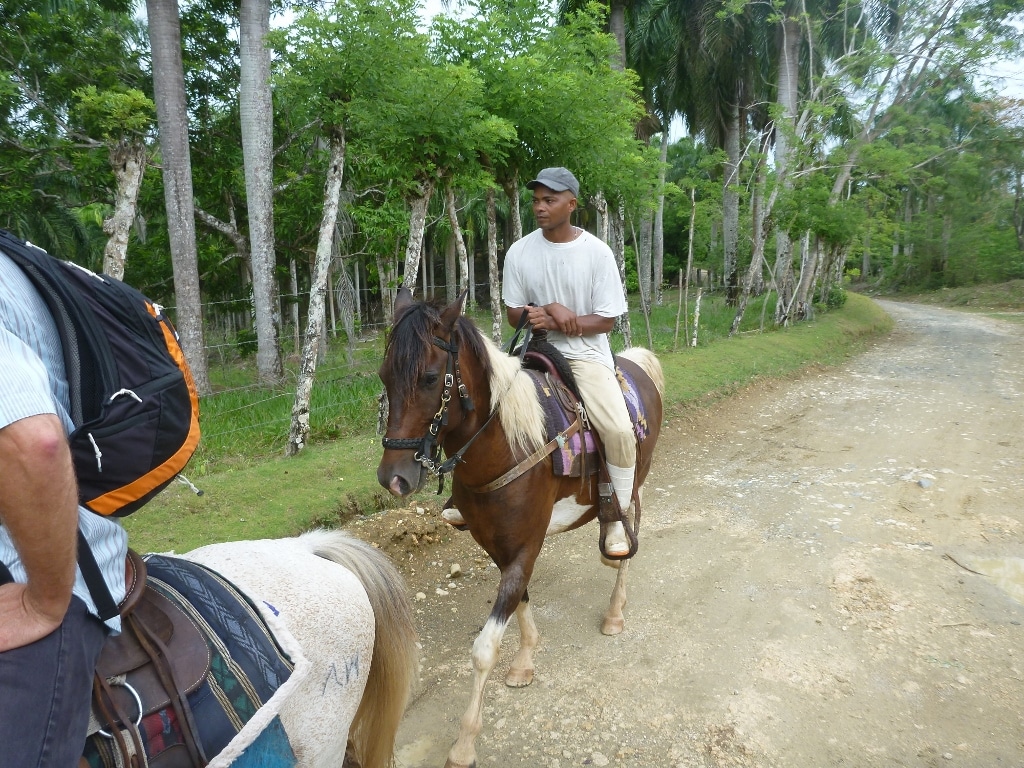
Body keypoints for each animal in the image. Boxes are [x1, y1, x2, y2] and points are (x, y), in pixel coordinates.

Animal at [376, 288, 663, 768]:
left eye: (432, 378)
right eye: (383, 377)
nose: (393, 478)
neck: (505, 445)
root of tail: (639, 362)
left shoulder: (527, 544)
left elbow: (484, 649)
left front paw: (464, 744)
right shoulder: (498, 545)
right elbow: (521, 600)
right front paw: (526, 660)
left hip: (633, 479)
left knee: (626, 535)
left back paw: (615, 608)